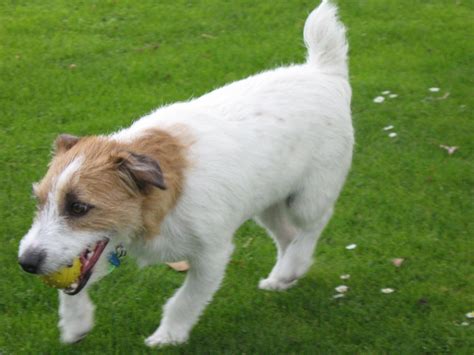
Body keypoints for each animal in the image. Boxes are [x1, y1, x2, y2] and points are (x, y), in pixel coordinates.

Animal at [18, 0, 352, 348]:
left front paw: (168, 335)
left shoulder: (212, 255)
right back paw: (284, 275)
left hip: (307, 197)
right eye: (39, 201)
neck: (161, 200)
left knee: (313, 225)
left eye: (79, 207)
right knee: (288, 234)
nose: (27, 262)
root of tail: (323, 71)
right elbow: (75, 280)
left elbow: (186, 300)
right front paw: (75, 322)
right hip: (268, 202)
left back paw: (293, 265)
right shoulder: (105, 244)